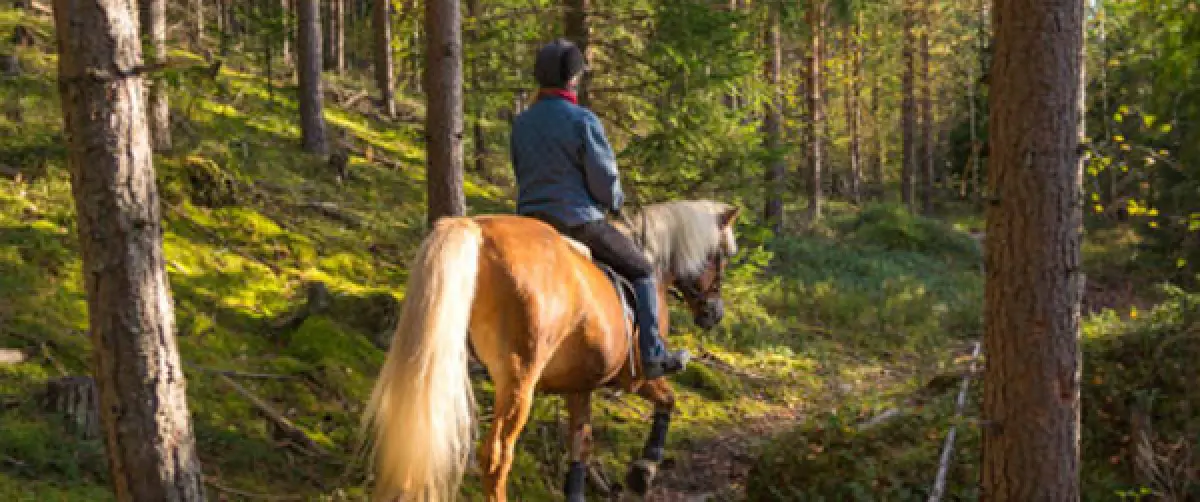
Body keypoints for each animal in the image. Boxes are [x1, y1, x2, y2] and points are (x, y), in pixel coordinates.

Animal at [361, 199, 740, 502]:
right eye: (721, 257)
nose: (714, 314)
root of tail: (479, 229)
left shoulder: (580, 387)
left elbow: (580, 450)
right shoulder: (636, 377)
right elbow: (668, 401)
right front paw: (642, 471)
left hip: (442, 360)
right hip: (519, 380)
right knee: (497, 457)